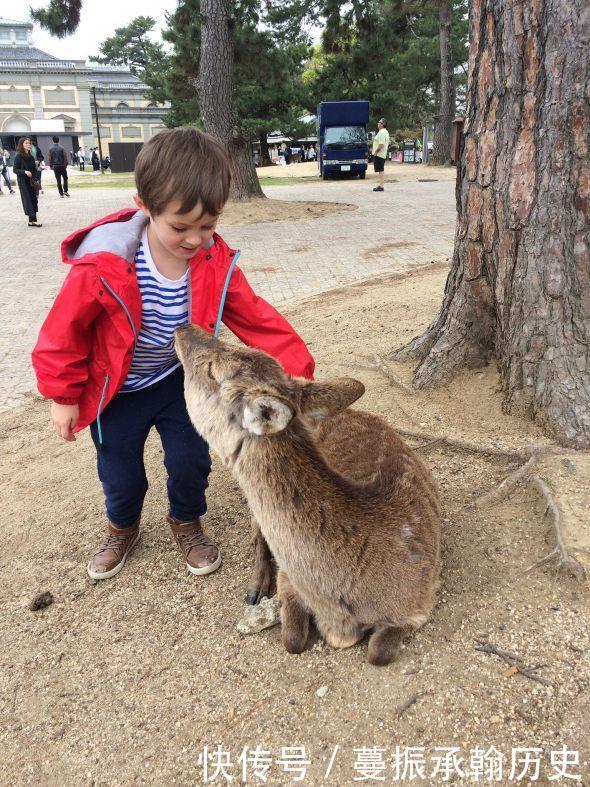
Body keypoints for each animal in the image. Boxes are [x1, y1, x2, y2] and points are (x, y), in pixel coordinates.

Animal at [173, 324, 442, 664]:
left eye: (212, 370)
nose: (184, 327)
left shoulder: (420, 602)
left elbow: (378, 651)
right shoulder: (289, 578)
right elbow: (293, 640)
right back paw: (256, 588)